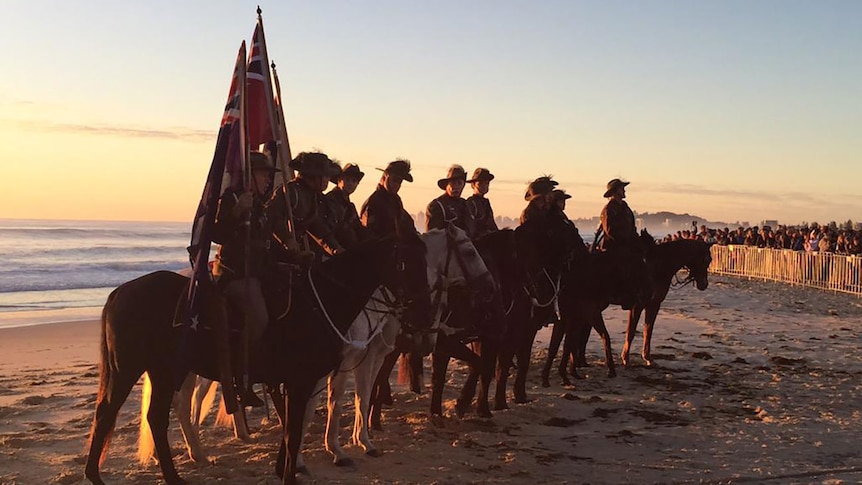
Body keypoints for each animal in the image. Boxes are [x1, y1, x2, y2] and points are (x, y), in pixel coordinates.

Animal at [82, 238, 426, 484]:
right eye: (406, 263)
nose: (419, 311)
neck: (322, 302)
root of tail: (120, 292)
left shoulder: (302, 380)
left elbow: (295, 426)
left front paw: (287, 467)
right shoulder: (303, 380)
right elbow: (294, 429)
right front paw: (293, 472)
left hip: (160, 370)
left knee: (136, 414)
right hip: (141, 369)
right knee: (121, 413)